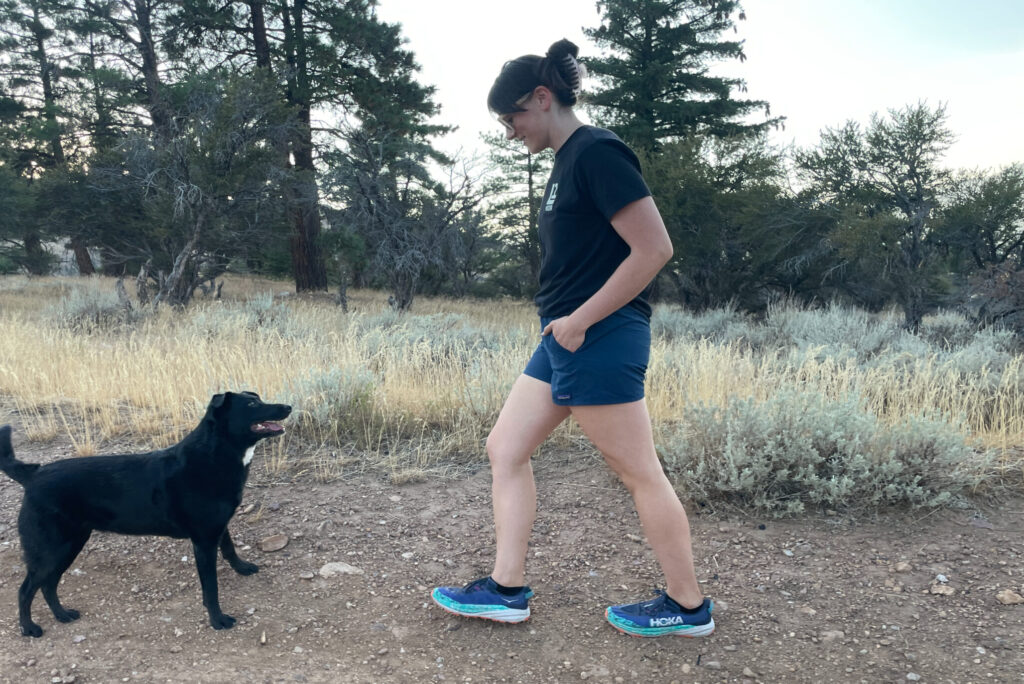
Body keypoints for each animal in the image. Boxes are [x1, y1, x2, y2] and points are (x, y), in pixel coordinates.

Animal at [0, 393, 292, 638]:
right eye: (252, 404)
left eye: (258, 397)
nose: (288, 406)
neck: (214, 455)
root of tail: (33, 475)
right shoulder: (204, 541)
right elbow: (211, 587)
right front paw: (217, 619)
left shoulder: (217, 528)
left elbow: (230, 548)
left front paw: (242, 567)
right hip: (53, 548)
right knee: (26, 589)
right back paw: (29, 628)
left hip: (70, 545)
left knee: (48, 585)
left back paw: (62, 615)